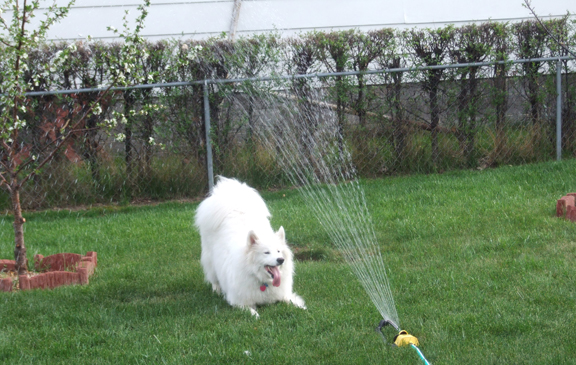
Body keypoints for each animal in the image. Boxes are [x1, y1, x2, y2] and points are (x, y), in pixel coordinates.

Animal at [195, 176, 306, 316]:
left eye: (278, 251)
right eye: (266, 252)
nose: (281, 260)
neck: (262, 281)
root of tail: (235, 204)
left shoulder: (283, 295)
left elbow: (293, 302)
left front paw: (303, 309)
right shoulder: (239, 302)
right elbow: (251, 311)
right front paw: (256, 316)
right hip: (210, 261)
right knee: (213, 278)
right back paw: (216, 290)